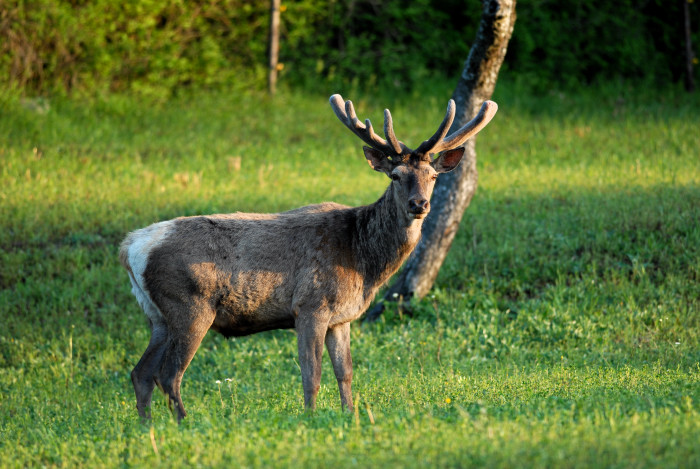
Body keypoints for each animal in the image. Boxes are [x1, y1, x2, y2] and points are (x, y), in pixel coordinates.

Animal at [117, 92, 494, 420]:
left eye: (432, 175)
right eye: (396, 175)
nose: (420, 204)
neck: (362, 259)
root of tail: (130, 247)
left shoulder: (341, 318)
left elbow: (345, 372)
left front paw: (350, 415)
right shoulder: (310, 305)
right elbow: (312, 373)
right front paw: (311, 418)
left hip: (157, 315)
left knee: (140, 373)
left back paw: (147, 426)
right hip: (190, 306)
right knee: (169, 374)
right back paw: (185, 423)